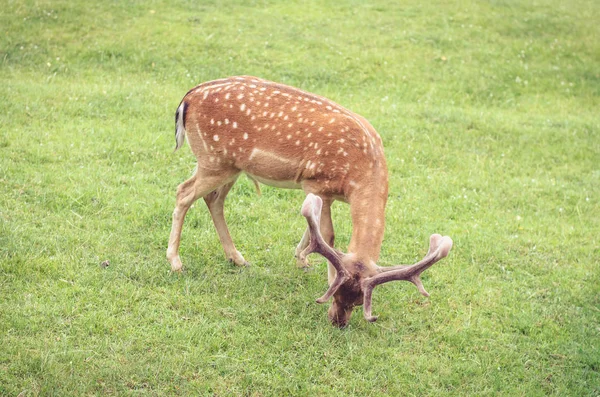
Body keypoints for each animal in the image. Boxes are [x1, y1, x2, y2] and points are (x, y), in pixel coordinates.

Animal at [166, 76, 452, 326]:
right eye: (336, 293)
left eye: (360, 301)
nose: (338, 322)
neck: (360, 174)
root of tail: (187, 98)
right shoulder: (317, 182)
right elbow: (329, 234)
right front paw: (319, 270)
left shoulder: (326, 193)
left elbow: (314, 227)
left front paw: (301, 258)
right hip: (214, 160)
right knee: (183, 193)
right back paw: (176, 262)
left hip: (229, 166)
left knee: (213, 199)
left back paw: (237, 258)